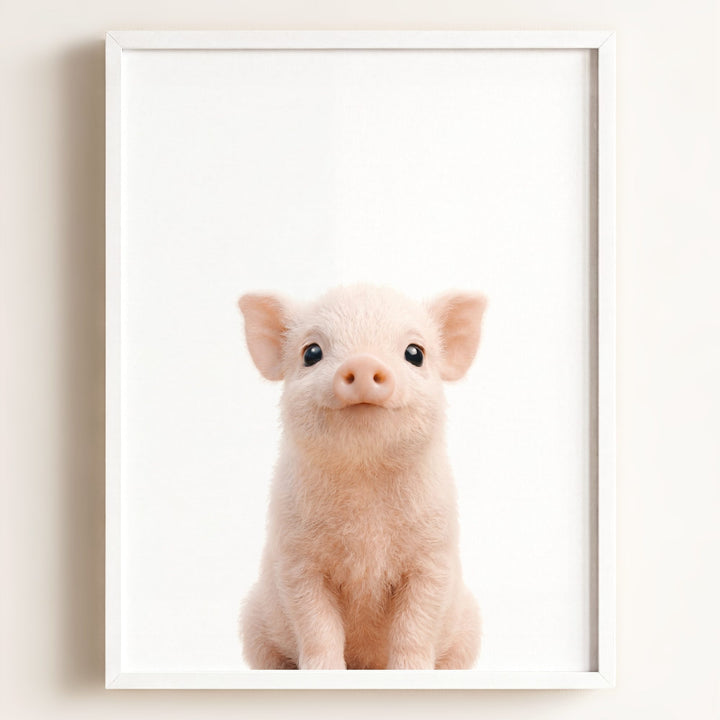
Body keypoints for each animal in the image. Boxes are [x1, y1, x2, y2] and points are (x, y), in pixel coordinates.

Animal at [238, 284, 486, 670]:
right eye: (311, 353)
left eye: (415, 353)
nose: (364, 361)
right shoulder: (296, 561)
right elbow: (317, 625)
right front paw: (323, 671)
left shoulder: (433, 558)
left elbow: (416, 624)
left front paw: (412, 671)